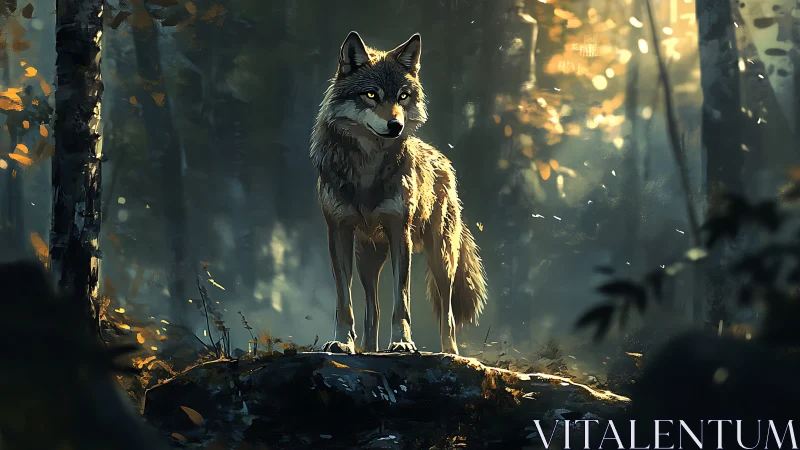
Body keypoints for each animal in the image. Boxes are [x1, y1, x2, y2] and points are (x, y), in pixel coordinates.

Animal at [309, 31, 488, 355]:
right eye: (371, 95)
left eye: (403, 96)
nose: (396, 125)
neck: (367, 167)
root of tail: (443, 160)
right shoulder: (338, 232)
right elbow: (344, 302)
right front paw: (342, 342)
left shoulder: (399, 232)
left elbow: (401, 301)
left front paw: (403, 342)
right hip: (368, 258)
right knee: (373, 310)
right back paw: (368, 348)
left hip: (440, 256)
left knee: (447, 312)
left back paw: (450, 352)